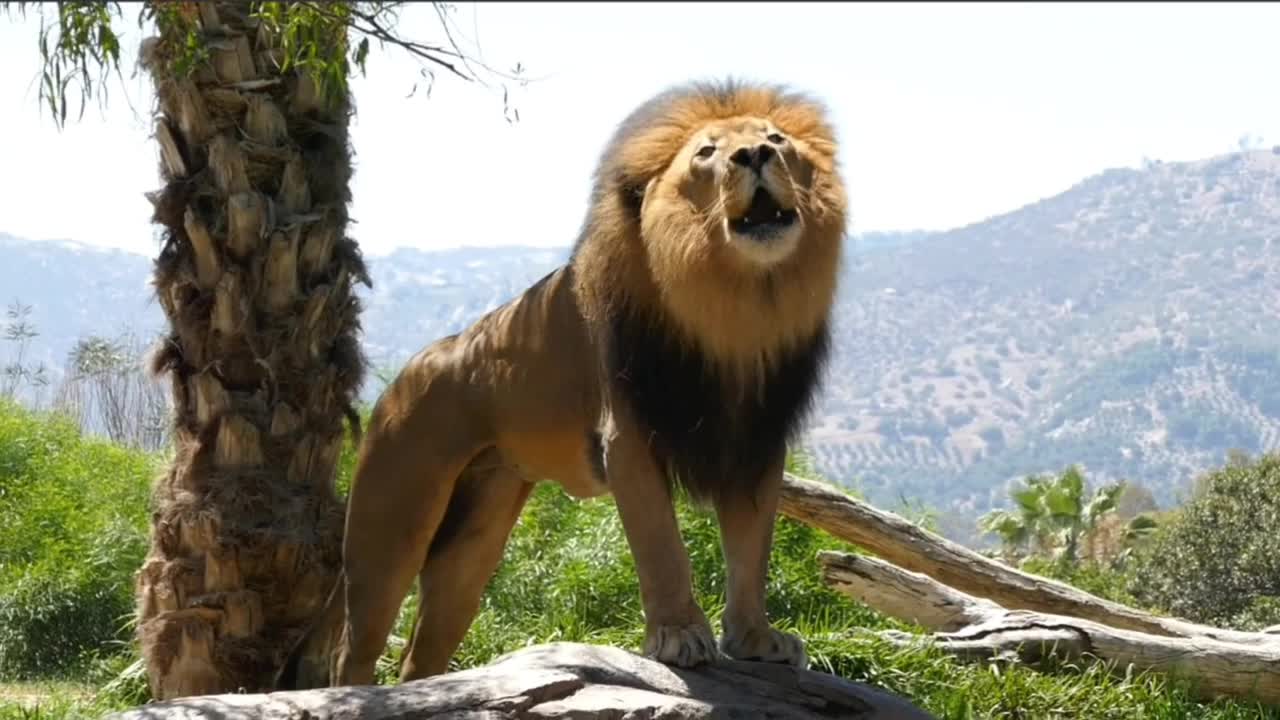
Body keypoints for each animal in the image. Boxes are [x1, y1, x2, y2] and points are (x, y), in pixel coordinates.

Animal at [275, 75, 844, 686]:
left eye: (777, 139)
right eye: (707, 153)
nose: (755, 154)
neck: (735, 307)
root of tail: (407, 371)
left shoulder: (755, 438)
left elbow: (750, 552)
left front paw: (756, 640)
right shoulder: (629, 437)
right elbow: (662, 546)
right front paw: (677, 636)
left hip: (473, 539)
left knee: (420, 654)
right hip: (394, 519)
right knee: (352, 651)